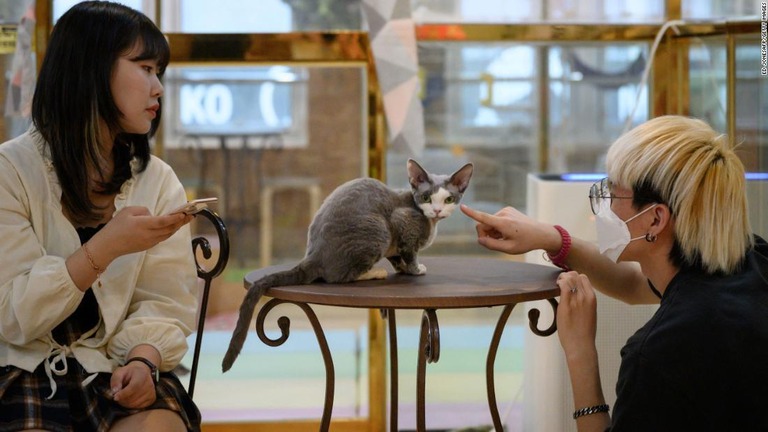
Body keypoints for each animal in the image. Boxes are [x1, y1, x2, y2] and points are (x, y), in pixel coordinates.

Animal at [222, 159, 472, 372]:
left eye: (449, 199)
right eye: (427, 197)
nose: (438, 210)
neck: (430, 221)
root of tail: (313, 255)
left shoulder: (395, 245)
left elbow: (397, 256)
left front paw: (401, 267)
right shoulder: (401, 222)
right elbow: (410, 253)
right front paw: (414, 269)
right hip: (380, 229)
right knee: (338, 277)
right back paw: (375, 272)